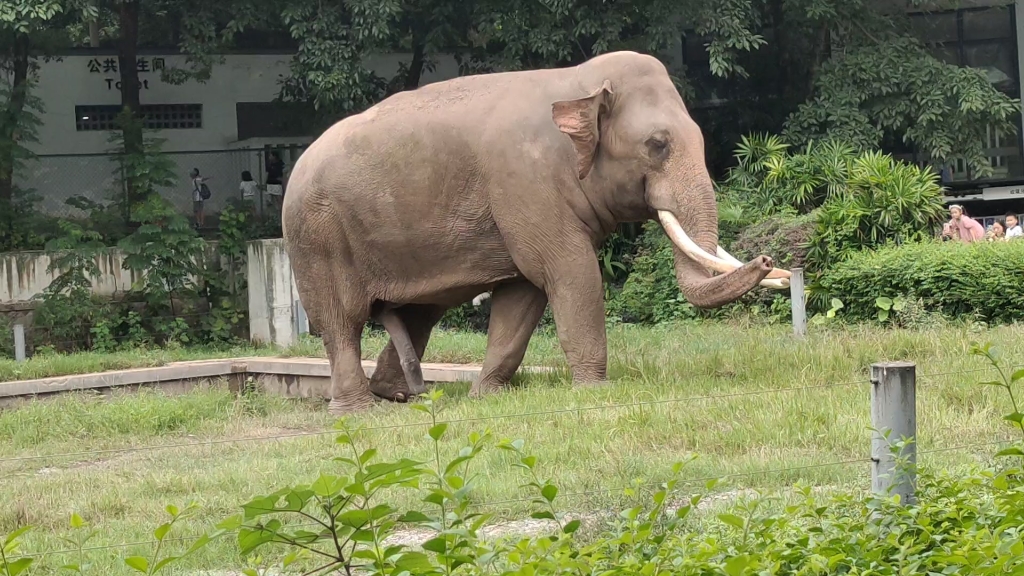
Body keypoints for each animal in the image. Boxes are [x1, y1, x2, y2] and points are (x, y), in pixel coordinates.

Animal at [282, 50, 790, 412]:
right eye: (657, 144)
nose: (769, 260)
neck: (578, 83)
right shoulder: (526, 184)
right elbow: (569, 271)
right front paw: (595, 391)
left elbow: (523, 294)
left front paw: (487, 397)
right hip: (316, 237)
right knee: (340, 321)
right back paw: (356, 411)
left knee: (417, 313)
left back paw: (399, 396)